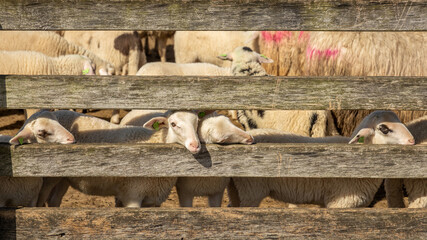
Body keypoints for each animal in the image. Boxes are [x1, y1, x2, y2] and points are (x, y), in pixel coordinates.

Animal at [35, 109, 201, 207]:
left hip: (64, 178)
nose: (195, 145)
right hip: (49, 178)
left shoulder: (153, 199)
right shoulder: (133, 195)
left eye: (197, 122)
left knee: (54, 200)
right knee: (41, 198)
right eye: (173, 124)